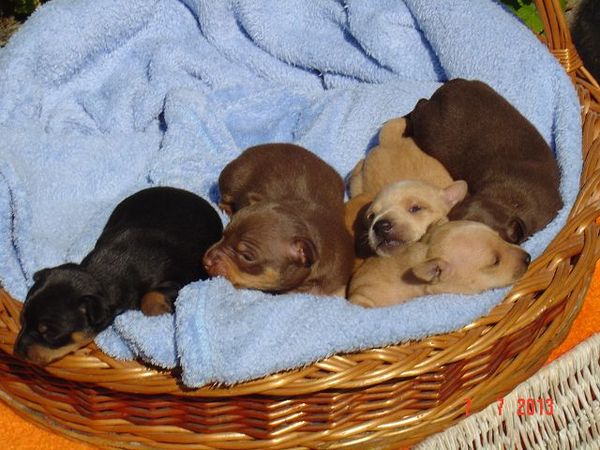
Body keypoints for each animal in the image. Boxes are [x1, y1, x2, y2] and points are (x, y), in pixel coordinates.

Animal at [14, 186, 225, 366]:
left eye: (50, 333)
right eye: (22, 321)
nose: (17, 353)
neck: (99, 277)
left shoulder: (181, 280)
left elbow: (149, 297)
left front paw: (161, 309)